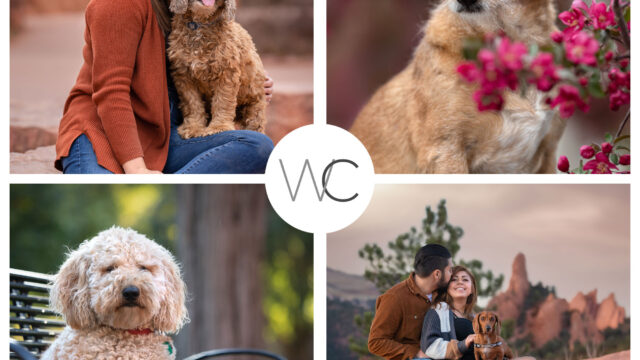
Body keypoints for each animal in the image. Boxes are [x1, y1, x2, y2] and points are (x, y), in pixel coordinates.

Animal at [168, 0, 268, 139]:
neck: (200, 23)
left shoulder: (226, 74)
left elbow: (222, 102)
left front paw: (219, 127)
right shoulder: (184, 76)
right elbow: (192, 104)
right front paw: (193, 128)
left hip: (255, 106)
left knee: (256, 124)